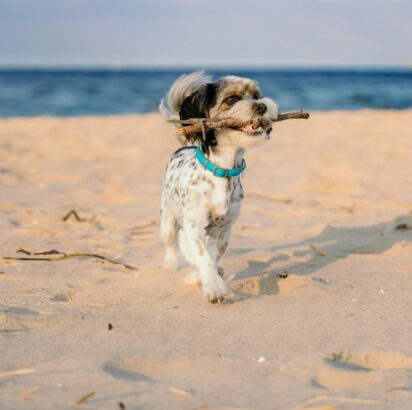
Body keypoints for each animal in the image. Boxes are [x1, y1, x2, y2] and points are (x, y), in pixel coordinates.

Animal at [159, 70, 278, 302]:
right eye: (231, 100)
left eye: (256, 96)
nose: (261, 106)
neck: (222, 170)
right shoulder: (193, 225)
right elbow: (201, 254)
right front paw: (214, 287)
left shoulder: (224, 229)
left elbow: (213, 256)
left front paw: (205, 277)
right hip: (168, 219)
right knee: (172, 245)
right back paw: (170, 265)